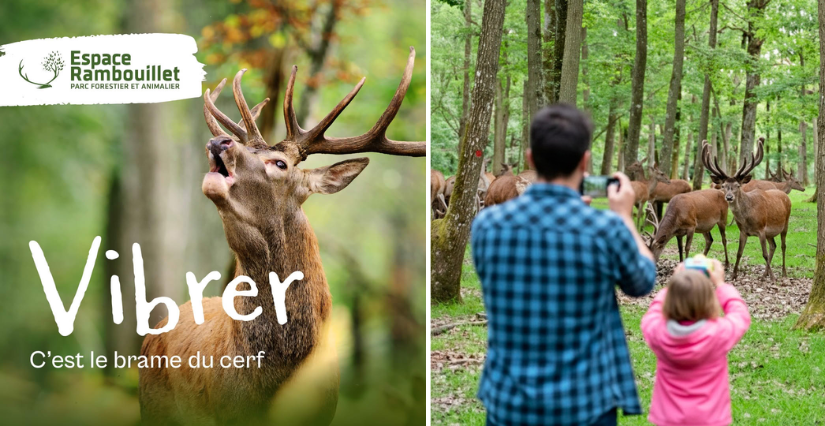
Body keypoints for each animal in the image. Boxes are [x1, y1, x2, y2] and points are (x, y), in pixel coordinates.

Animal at [702, 138, 791, 280]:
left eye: (738, 185)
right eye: (724, 185)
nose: (729, 197)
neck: (747, 218)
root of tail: (786, 196)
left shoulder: (761, 229)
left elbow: (764, 254)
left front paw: (773, 277)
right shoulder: (743, 231)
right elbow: (739, 252)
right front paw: (733, 274)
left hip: (785, 223)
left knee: (783, 246)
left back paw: (783, 272)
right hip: (770, 232)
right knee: (773, 246)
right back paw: (764, 273)